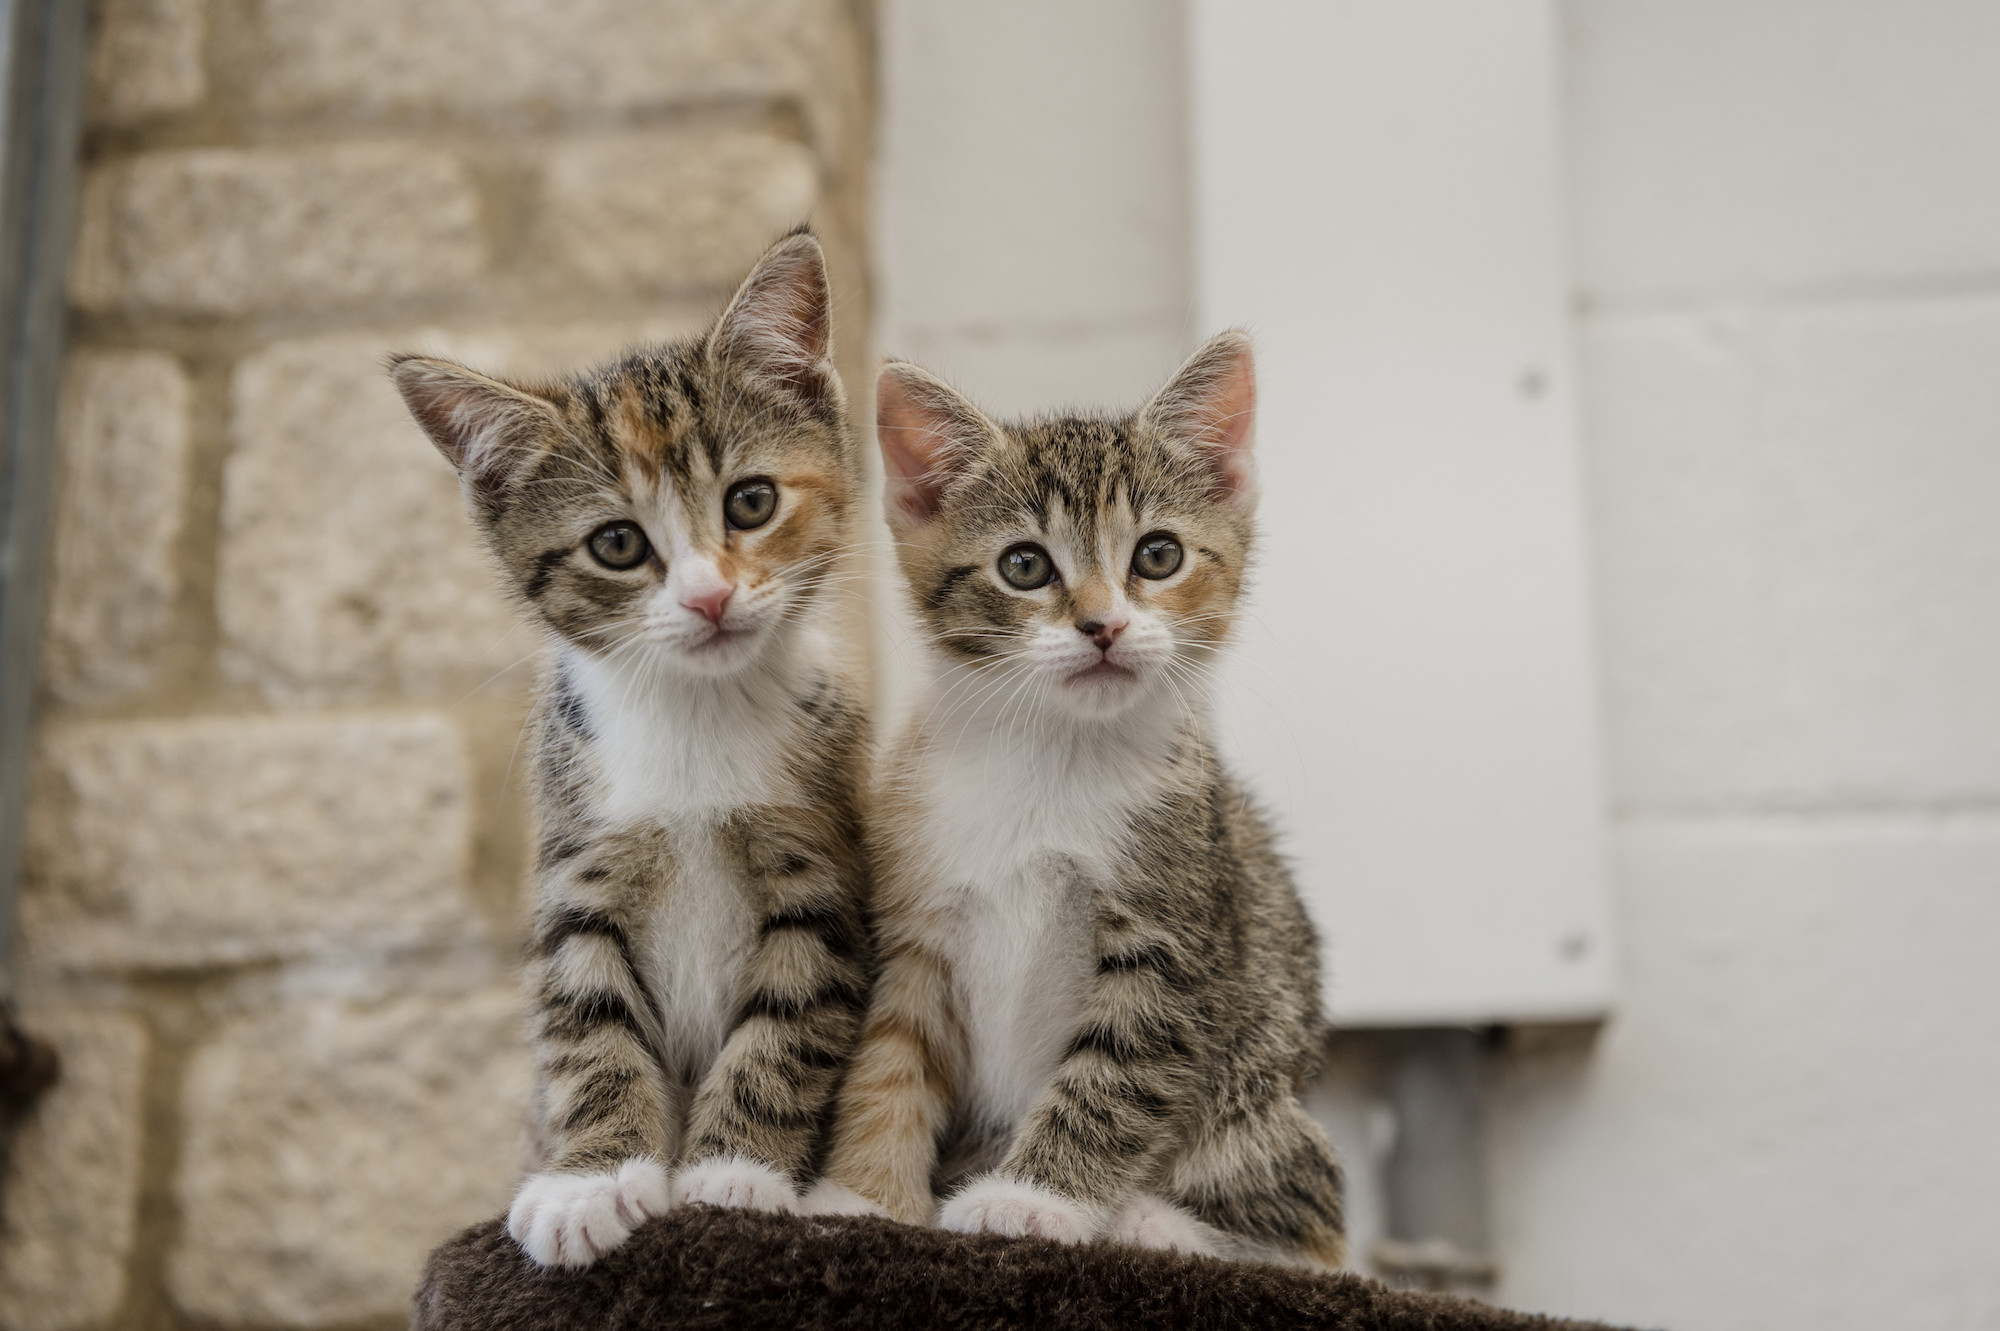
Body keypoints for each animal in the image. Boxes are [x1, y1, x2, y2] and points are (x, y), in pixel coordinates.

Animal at [394, 232, 872, 1271]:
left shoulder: (824, 870)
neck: (695, 715)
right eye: (616, 543)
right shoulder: (578, 864)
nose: (709, 596)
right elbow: (586, 1028)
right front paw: (591, 1181)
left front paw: (733, 1177)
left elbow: (788, 1025)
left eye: (751, 500)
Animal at [804, 325, 1352, 1263]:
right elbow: (888, 1059)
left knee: (1320, 1224)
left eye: (1159, 555)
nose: (1104, 624)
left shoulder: (1174, 940)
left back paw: (1152, 1220)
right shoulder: (916, 924)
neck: (1050, 756)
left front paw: (1032, 1200)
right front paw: (864, 1196)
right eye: (1024, 565)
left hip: (1261, 1082)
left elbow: (1115, 1077)